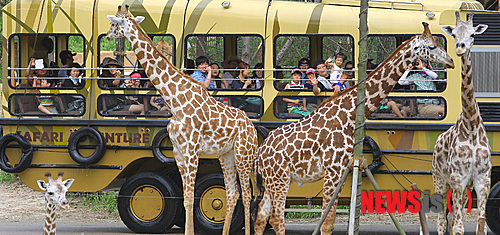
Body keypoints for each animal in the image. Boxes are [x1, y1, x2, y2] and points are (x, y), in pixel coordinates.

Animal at [104, 5, 258, 235]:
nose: (107, 35)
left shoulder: (192, 150)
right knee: (233, 194)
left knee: (247, 194)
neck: (175, 101)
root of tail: (252, 127)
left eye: (115, 23)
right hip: (226, 155)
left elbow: (191, 197)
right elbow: (185, 198)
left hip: (244, 153)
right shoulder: (178, 151)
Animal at [254, 22, 454, 235]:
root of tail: (260, 152)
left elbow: (330, 220)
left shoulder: (344, 169)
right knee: (276, 219)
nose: (451, 61)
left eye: (438, 41)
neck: (349, 116)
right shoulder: (333, 169)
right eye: (432, 46)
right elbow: (327, 223)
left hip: (275, 180)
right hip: (279, 179)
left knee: (260, 218)